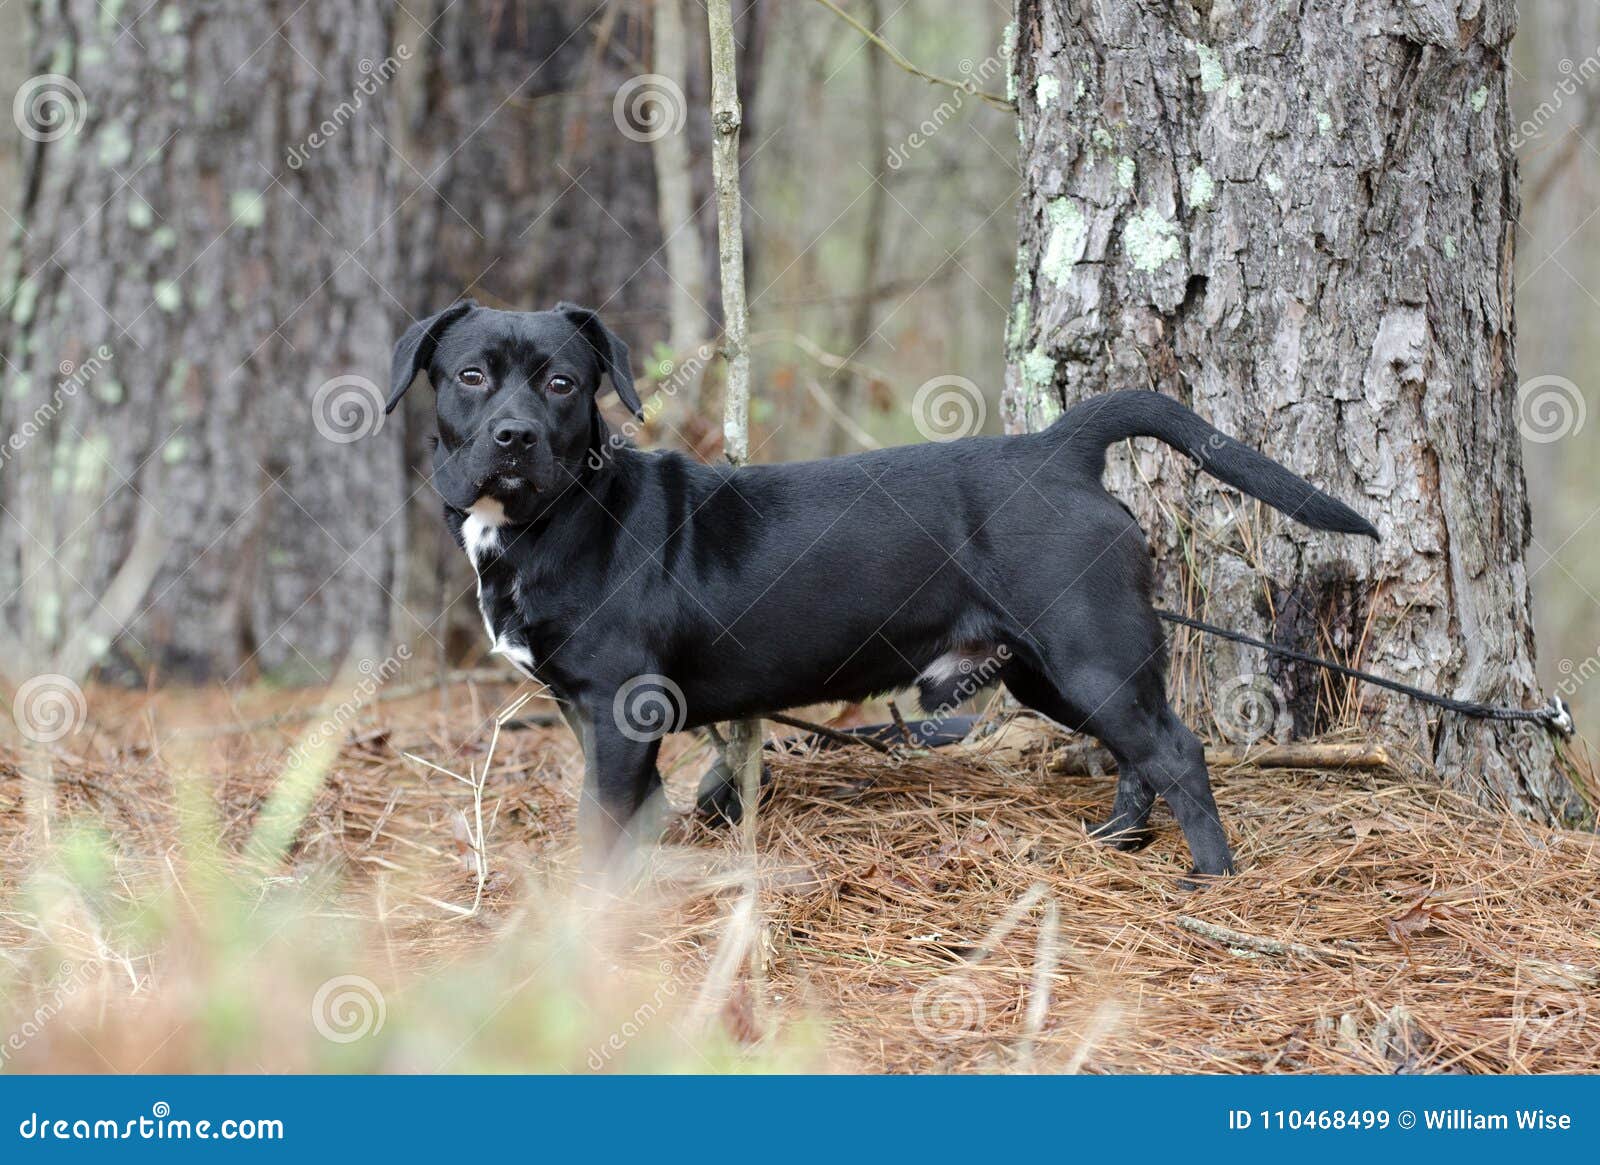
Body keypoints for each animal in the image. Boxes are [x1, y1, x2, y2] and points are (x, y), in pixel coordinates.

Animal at [387, 300, 1376, 870]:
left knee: (1178, 751)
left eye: (563, 382)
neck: (552, 518)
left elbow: (605, 822)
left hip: (1091, 652)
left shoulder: (621, 705)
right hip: (1050, 670)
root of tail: (1060, 448)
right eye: (470, 374)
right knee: (1141, 751)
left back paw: (1210, 874)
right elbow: (634, 815)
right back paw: (1120, 838)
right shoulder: (586, 710)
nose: (514, 438)